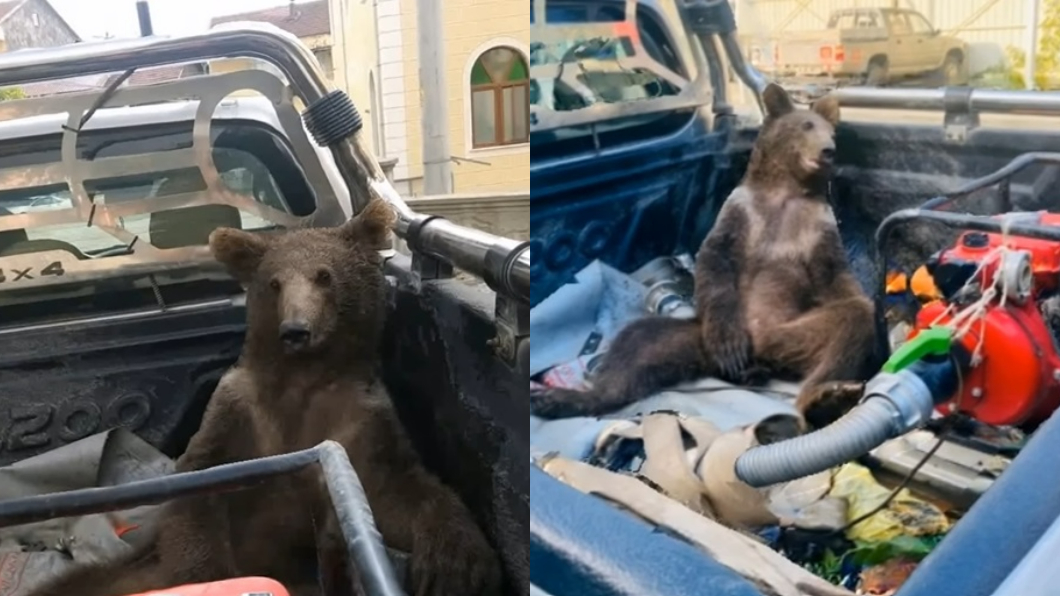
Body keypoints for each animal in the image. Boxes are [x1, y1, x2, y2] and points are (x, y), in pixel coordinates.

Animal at [26, 199, 502, 596]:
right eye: (274, 282)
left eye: (324, 275)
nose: (296, 329)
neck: (303, 381)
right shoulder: (237, 415)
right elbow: (197, 491)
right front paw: (209, 574)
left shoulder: (361, 422)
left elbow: (403, 491)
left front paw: (456, 564)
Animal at [530, 83, 881, 429]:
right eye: (806, 125)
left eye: (831, 132)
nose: (827, 150)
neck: (786, 192)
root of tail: (761, 357)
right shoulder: (740, 212)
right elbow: (716, 261)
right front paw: (730, 344)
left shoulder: (817, 227)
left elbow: (835, 276)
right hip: (695, 335)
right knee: (636, 346)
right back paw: (564, 398)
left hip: (791, 332)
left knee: (849, 326)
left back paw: (824, 398)